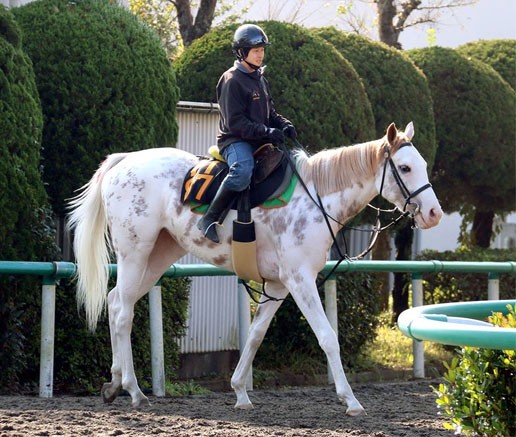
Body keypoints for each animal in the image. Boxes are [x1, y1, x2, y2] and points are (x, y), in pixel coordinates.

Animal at [66, 122, 442, 416]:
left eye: (423, 164)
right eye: (405, 168)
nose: (434, 213)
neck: (316, 198)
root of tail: (125, 161)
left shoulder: (278, 285)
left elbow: (256, 336)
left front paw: (240, 391)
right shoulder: (300, 280)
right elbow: (327, 337)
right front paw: (350, 400)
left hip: (158, 257)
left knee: (117, 301)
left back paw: (114, 384)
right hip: (135, 253)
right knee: (122, 311)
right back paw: (133, 390)